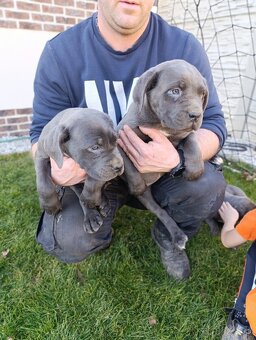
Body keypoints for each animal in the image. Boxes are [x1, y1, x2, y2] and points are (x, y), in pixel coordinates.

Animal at [117, 59, 209, 248]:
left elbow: (192, 140)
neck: (161, 124)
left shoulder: (183, 133)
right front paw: (136, 185)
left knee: (163, 212)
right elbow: (129, 166)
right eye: (175, 91)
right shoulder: (121, 137)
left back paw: (178, 236)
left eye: (202, 94)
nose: (196, 115)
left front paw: (195, 170)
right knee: (159, 210)